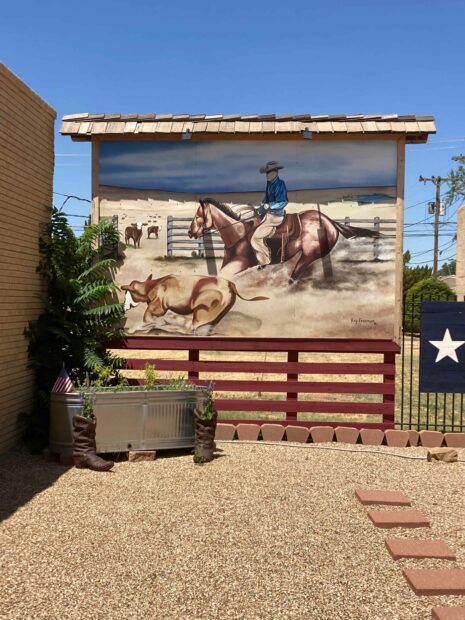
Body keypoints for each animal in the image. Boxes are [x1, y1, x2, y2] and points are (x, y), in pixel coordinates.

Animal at [188, 199, 380, 280]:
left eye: (198, 216)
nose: (190, 232)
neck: (238, 234)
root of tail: (329, 221)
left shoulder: (241, 263)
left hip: (308, 255)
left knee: (294, 277)